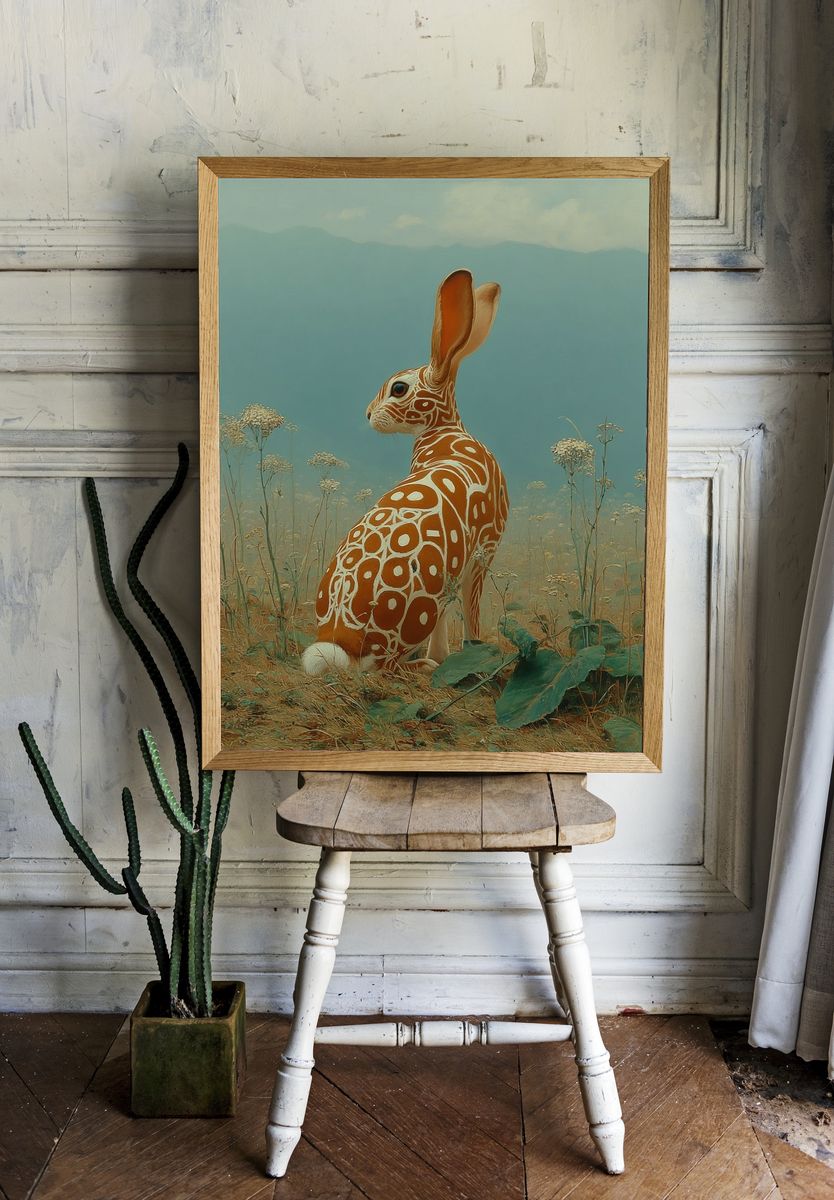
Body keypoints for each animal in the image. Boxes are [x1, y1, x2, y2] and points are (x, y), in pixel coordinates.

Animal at [302, 268, 508, 675]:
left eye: (399, 388)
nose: (368, 413)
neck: (445, 432)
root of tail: (340, 637)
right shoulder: (482, 553)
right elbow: (471, 611)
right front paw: (466, 653)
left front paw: (447, 656)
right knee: (387, 667)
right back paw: (423, 666)